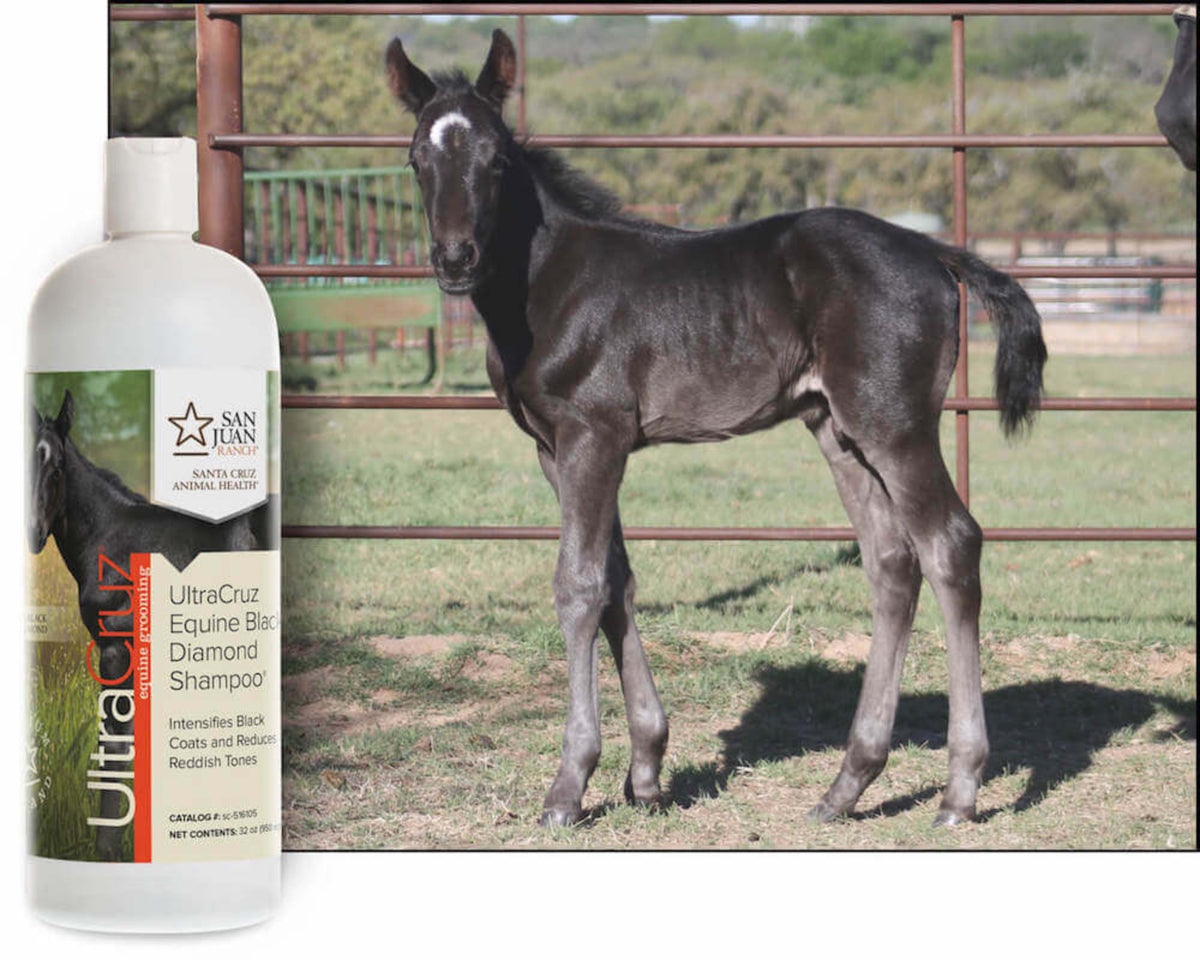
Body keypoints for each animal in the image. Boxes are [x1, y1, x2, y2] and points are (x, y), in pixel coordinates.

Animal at [28, 390, 276, 859]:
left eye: (57, 467)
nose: (32, 533)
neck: (107, 538)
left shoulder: (115, 651)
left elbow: (115, 745)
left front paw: (107, 848)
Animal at [385, 30, 1047, 829]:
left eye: (496, 160)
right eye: (417, 159)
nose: (455, 259)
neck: (547, 286)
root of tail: (934, 252)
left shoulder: (591, 437)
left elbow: (577, 585)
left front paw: (570, 783)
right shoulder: (556, 450)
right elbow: (617, 582)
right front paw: (645, 771)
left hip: (894, 425)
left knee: (950, 545)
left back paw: (959, 789)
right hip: (838, 428)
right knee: (892, 561)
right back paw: (847, 784)